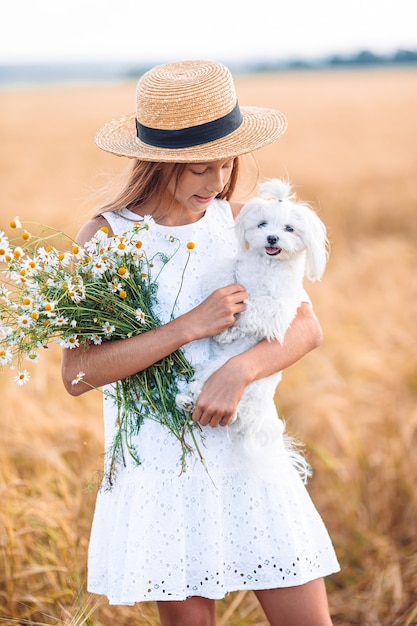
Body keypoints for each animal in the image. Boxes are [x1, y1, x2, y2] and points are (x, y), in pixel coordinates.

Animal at [176, 177, 328, 468]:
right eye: (262, 224)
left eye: (289, 228)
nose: (272, 238)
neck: (267, 265)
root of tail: (251, 430)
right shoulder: (237, 270)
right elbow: (227, 274)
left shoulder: (277, 310)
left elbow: (252, 310)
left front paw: (229, 330)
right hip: (210, 370)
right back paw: (186, 399)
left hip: (238, 393)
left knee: (233, 416)